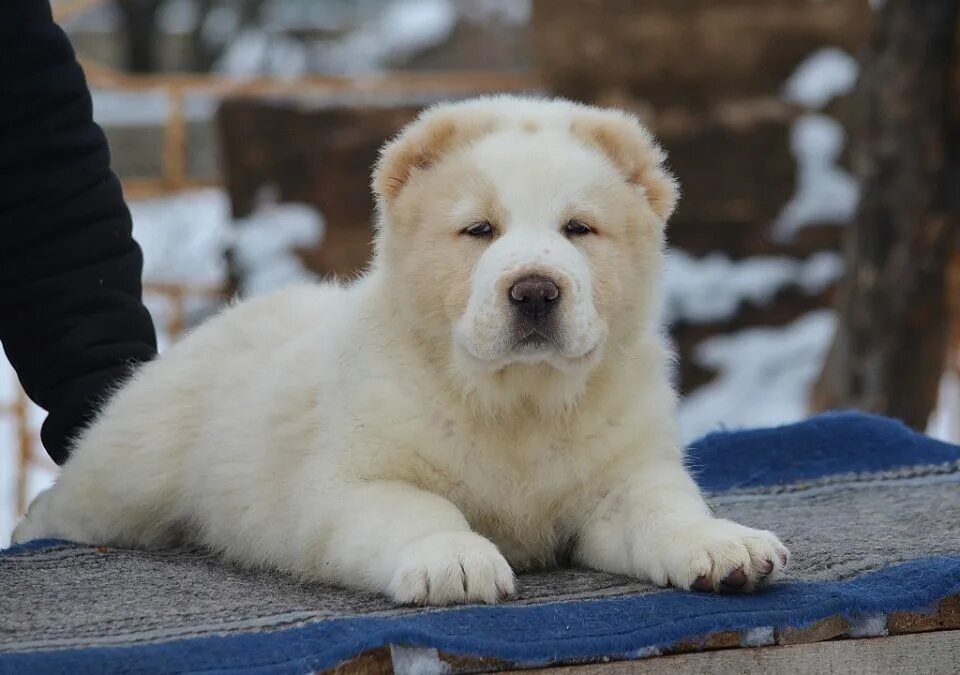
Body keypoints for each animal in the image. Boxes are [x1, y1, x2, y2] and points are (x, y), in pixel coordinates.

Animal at [13, 96, 788, 608]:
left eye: (579, 228)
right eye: (478, 229)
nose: (535, 291)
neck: (520, 404)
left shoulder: (626, 475)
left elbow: (665, 511)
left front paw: (723, 545)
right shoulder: (353, 483)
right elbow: (422, 510)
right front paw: (457, 562)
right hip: (129, 478)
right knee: (71, 499)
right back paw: (30, 524)